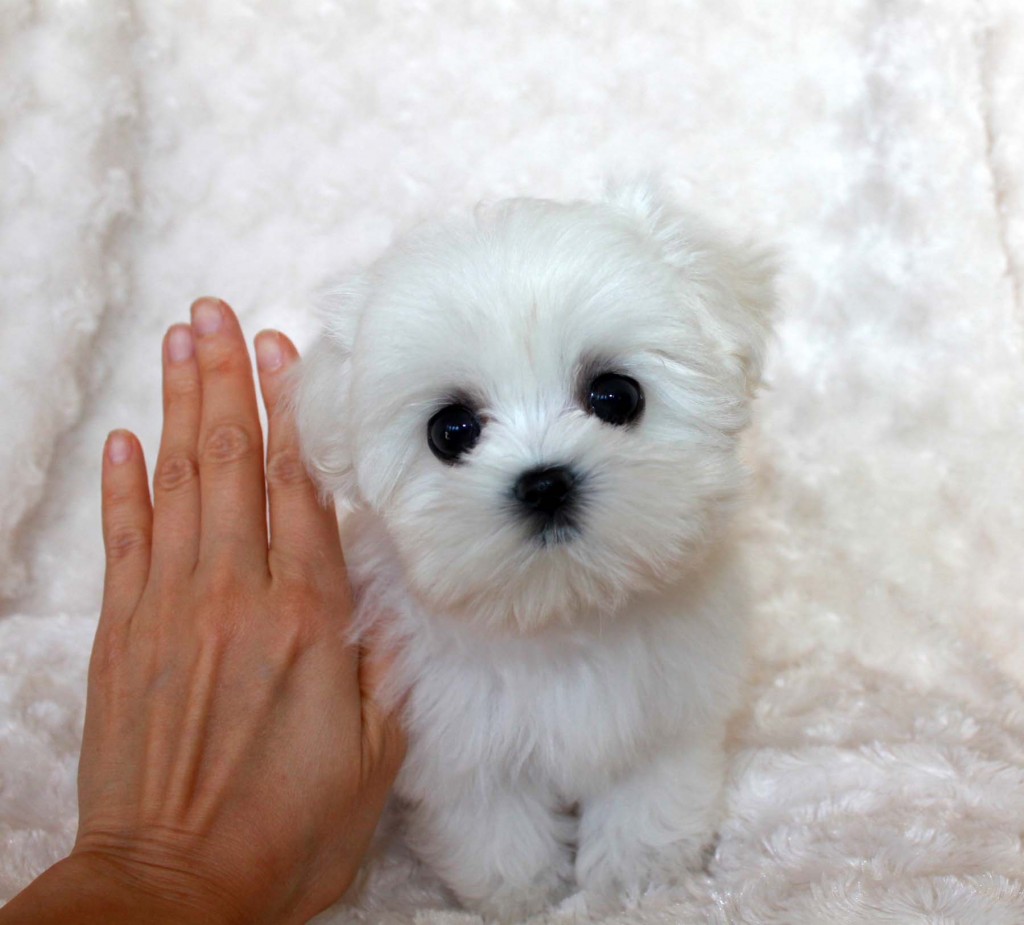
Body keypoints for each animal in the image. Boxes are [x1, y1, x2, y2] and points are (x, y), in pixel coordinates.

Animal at [296, 184, 774, 921]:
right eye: (451, 430)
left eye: (616, 395)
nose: (545, 481)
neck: (561, 608)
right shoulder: (463, 736)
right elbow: (496, 825)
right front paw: (521, 894)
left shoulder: (666, 711)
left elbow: (648, 796)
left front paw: (636, 881)